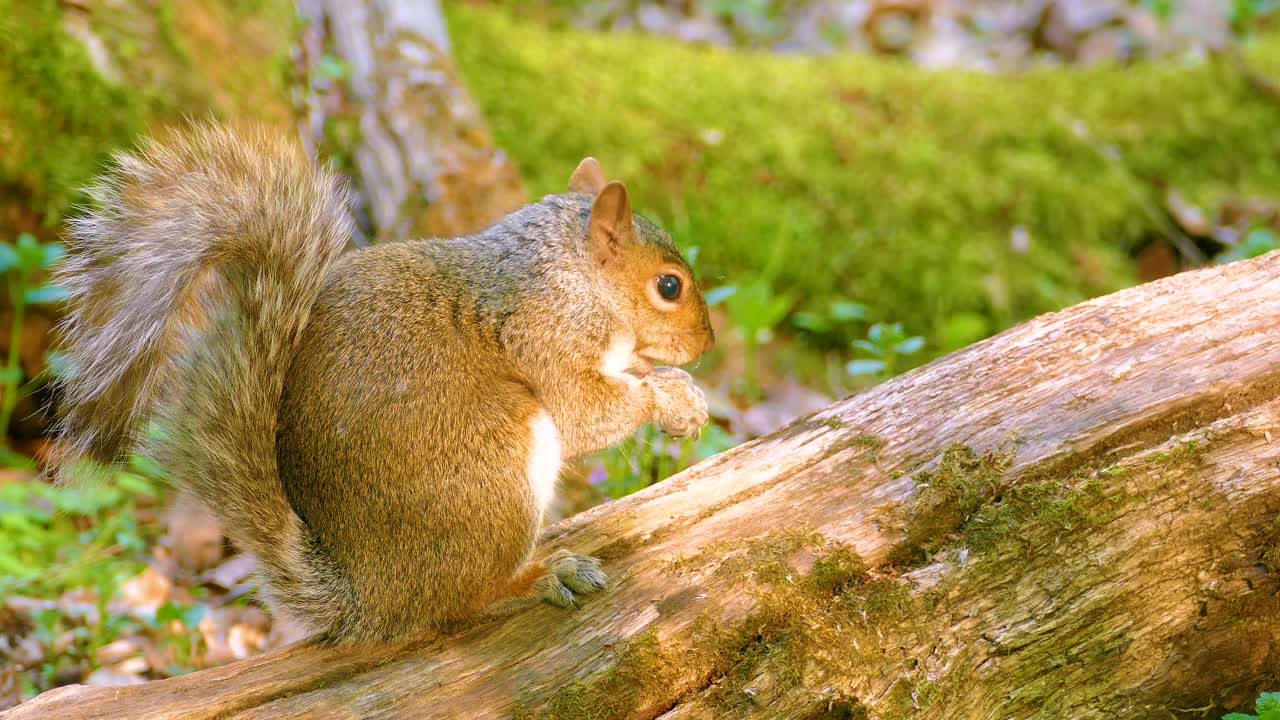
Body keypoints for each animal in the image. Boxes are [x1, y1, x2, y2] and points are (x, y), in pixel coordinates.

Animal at [51, 124, 714, 643]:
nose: (707, 343)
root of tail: (370, 593)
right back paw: (541, 576)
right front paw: (670, 397)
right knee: (462, 600)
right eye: (669, 286)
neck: (567, 275)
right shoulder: (545, 334)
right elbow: (584, 412)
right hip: (493, 472)